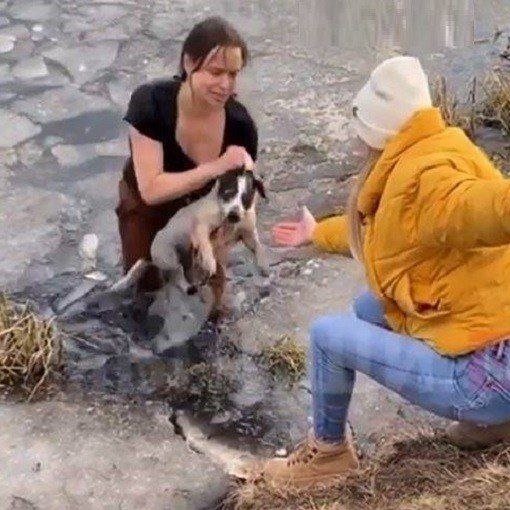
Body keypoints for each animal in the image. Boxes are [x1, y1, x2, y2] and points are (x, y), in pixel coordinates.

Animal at [109, 168, 268, 313]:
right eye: (228, 193)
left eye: (246, 198)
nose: (234, 215)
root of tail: (150, 254)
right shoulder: (201, 229)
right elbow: (207, 250)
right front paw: (210, 264)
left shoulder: (247, 234)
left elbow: (259, 247)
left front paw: (263, 265)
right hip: (171, 256)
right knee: (176, 275)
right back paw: (188, 286)